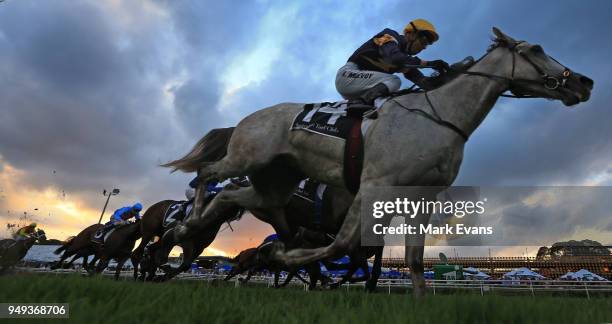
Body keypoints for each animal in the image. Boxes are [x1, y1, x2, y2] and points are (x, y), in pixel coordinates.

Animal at [163, 27, 592, 296]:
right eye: (535, 50)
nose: (583, 82)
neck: (437, 117)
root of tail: (248, 119)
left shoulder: (421, 199)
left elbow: (415, 259)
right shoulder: (373, 187)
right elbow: (342, 244)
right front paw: (284, 256)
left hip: (273, 187)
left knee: (227, 196)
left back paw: (190, 227)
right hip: (244, 158)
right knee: (208, 173)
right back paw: (184, 225)